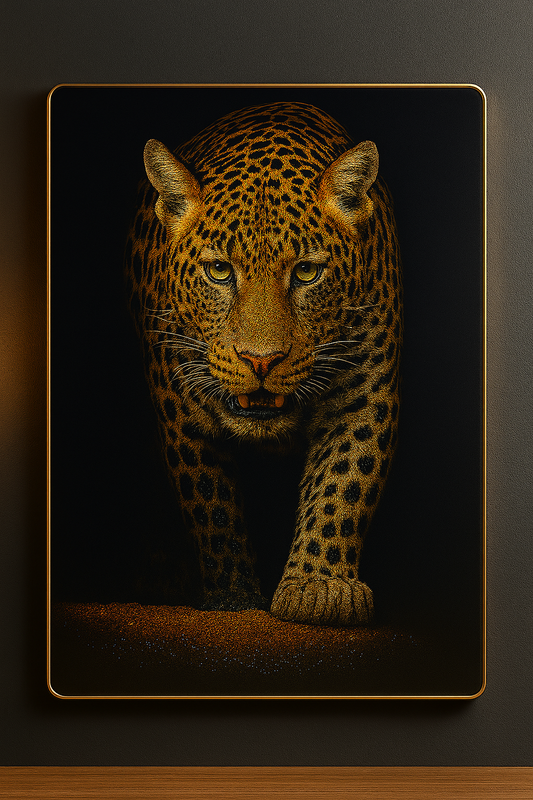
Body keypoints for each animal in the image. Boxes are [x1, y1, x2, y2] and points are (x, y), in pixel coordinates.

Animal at [124, 101, 402, 626]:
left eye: (307, 272)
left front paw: (319, 588)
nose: (261, 360)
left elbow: (345, 480)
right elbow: (212, 505)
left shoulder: (365, 390)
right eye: (219, 270)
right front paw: (233, 598)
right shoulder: (180, 406)